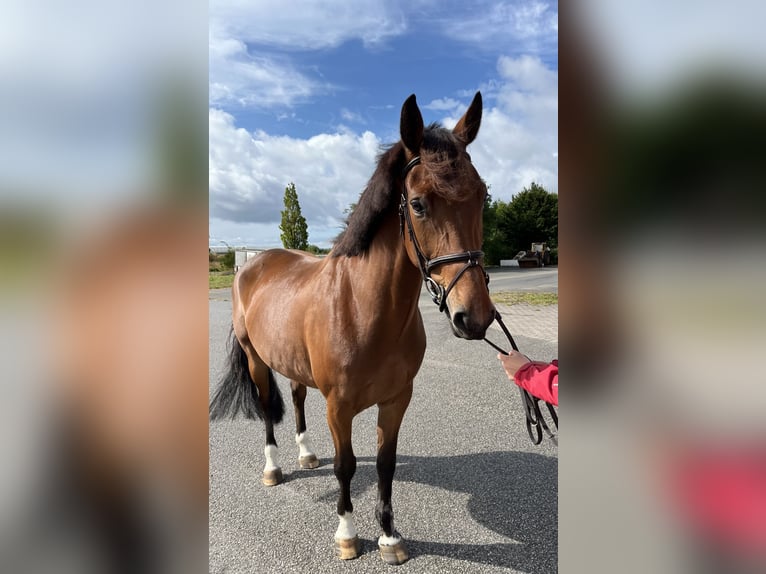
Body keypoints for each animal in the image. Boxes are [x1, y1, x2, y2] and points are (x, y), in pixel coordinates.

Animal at [213, 92, 496, 564]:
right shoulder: (339, 406)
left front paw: (389, 538)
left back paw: (307, 455)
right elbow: (345, 466)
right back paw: (274, 468)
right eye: (418, 203)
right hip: (255, 359)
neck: (362, 309)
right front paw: (347, 535)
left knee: (295, 397)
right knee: (267, 406)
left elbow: (385, 464)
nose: (474, 317)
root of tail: (252, 263)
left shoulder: (397, 400)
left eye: (482, 196)